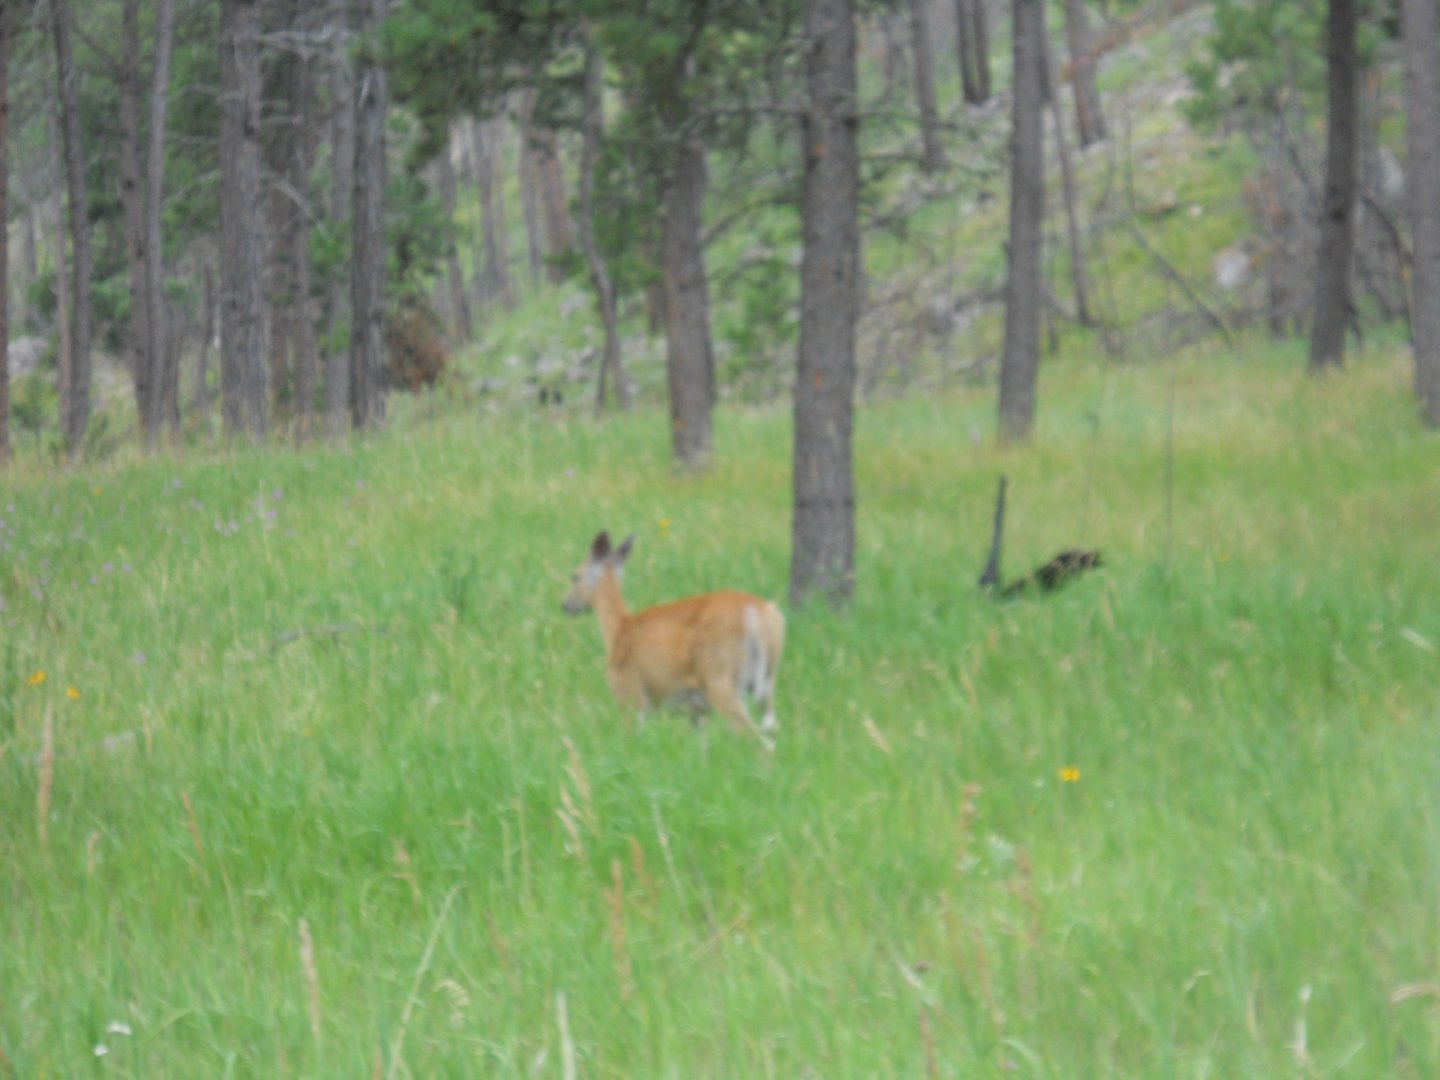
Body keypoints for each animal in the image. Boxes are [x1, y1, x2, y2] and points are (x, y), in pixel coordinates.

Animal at [562, 530, 786, 748]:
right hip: (766, 682)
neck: (619, 629)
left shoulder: (630, 694)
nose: (565, 604)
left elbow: (630, 744)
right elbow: (702, 749)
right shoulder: (696, 710)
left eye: (575, 576)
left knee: (754, 737)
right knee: (772, 731)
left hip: (722, 679)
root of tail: (758, 613)